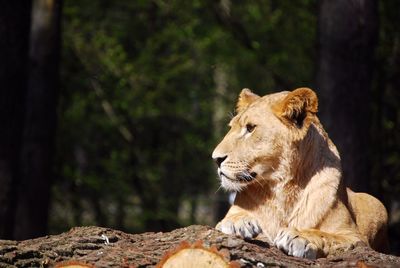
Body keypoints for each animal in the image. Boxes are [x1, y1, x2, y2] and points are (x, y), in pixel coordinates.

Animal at [212, 88, 388, 260]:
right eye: (231, 127)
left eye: (250, 128)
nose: (216, 159)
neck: (282, 188)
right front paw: (237, 222)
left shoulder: (355, 237)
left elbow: (327, 235)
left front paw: (299, 236)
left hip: (376, 203)